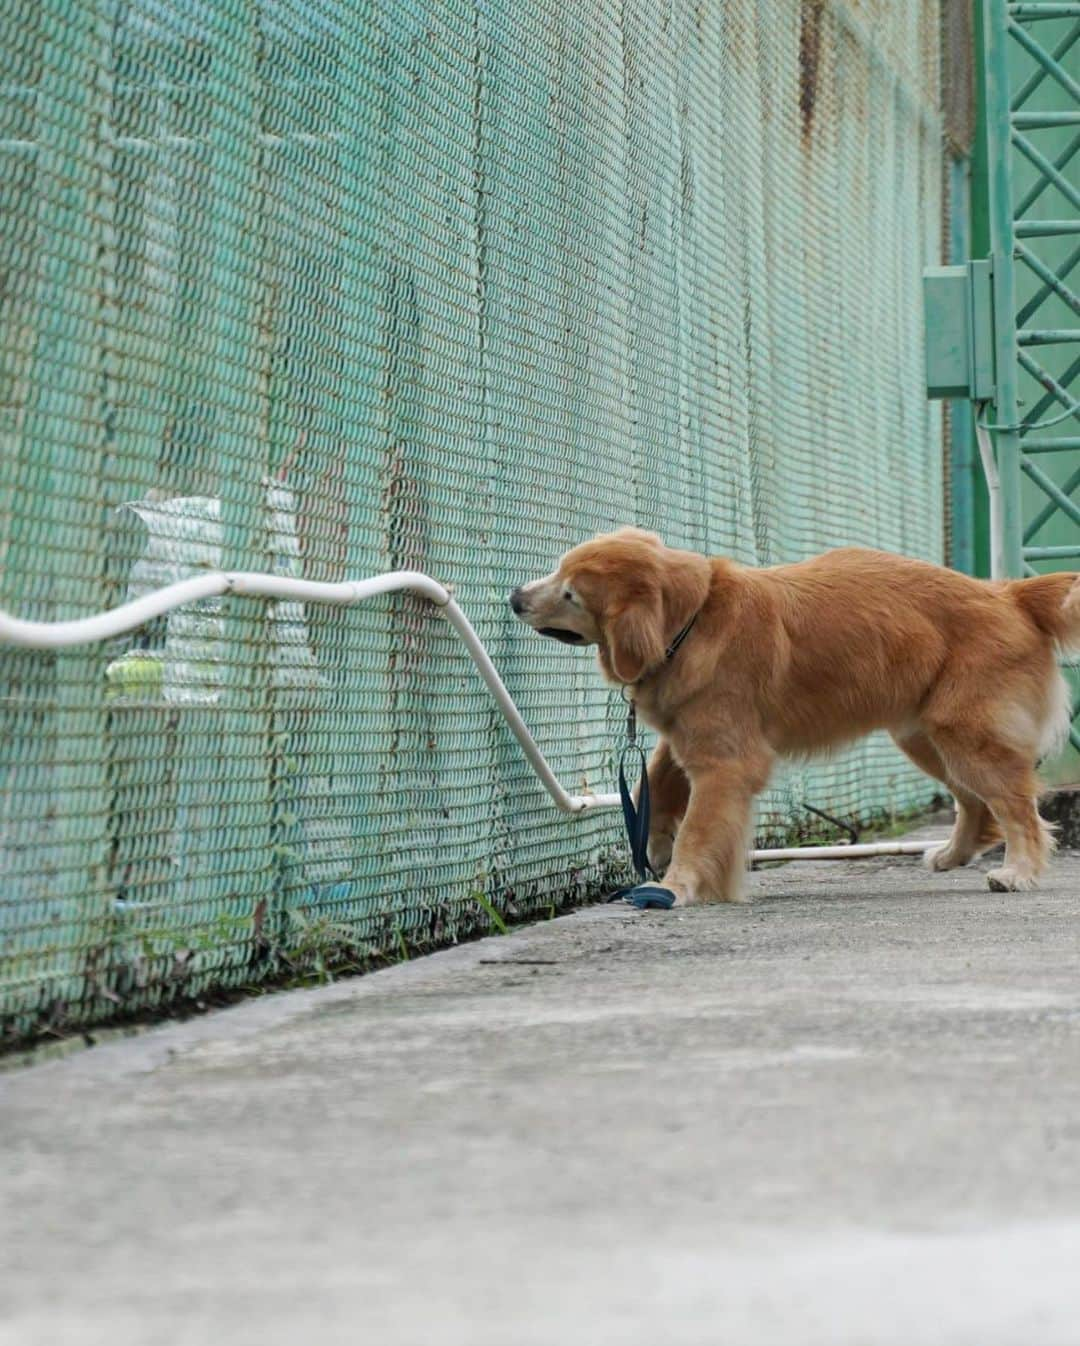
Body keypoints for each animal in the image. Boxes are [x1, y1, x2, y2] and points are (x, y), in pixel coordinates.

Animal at [506, 524, 1077, 904]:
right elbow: (655, 778)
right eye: (558, 568)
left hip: (965, 735)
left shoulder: (725, 761)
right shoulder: (688, 734)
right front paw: (658, 841)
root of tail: (1011, 595)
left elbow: (700, 827)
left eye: (570, 593)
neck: (693, 617)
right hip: (925, 736)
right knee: (977, 806)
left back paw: (1019, 872)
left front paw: (674, 886)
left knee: (1017, 808)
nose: (514, 597)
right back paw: (953, 854)